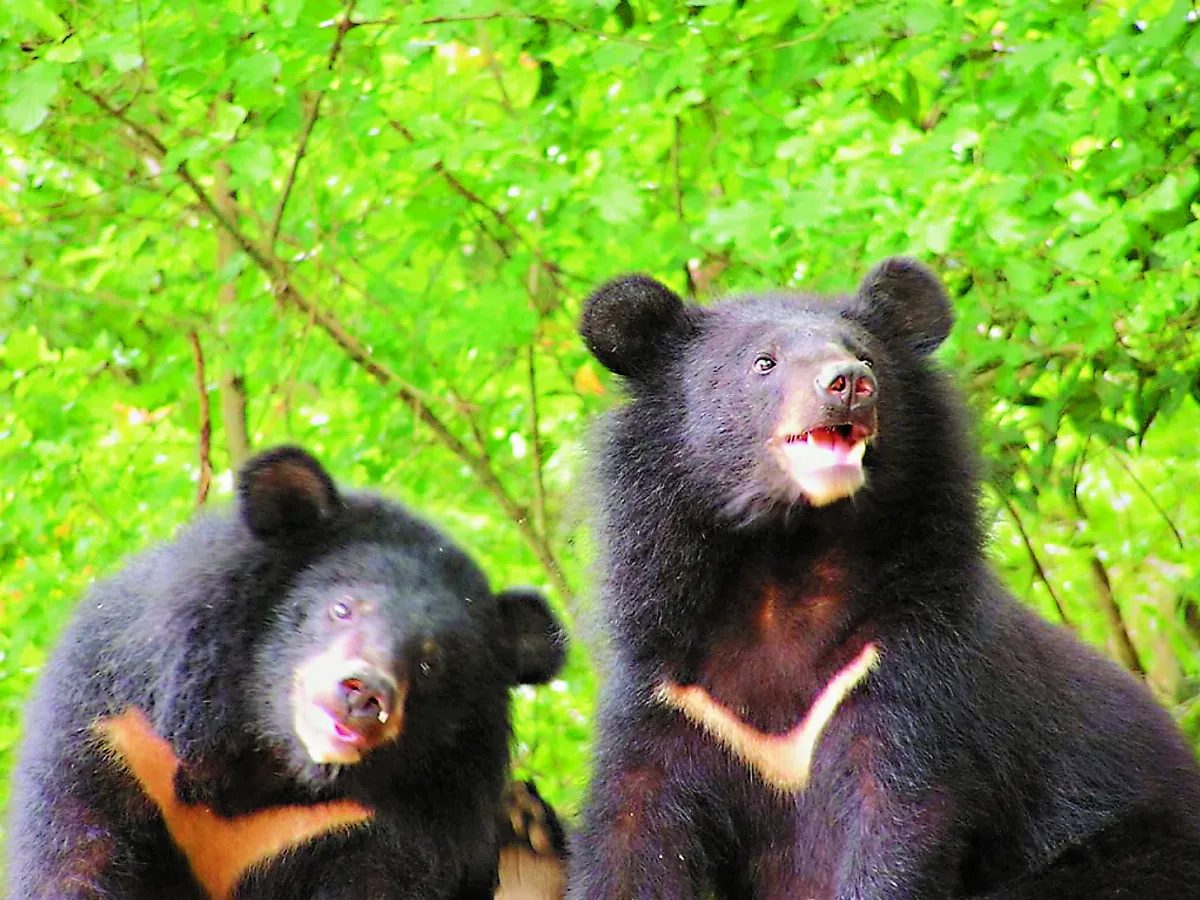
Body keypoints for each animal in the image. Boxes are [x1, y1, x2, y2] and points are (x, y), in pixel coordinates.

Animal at [7, 446, 567, 900]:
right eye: (341, 608)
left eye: (432, 662)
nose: (364, 694)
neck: (268, 762)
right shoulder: (121, 735)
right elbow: (74, 856)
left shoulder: (373, 827)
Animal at [569, 259, 1200, 899]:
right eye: (763, 362)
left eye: (864, 356)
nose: (847, 382)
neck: (785, 561)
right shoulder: (672, 695)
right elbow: (634, 832)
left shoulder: (908, 670)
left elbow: (896, 820)